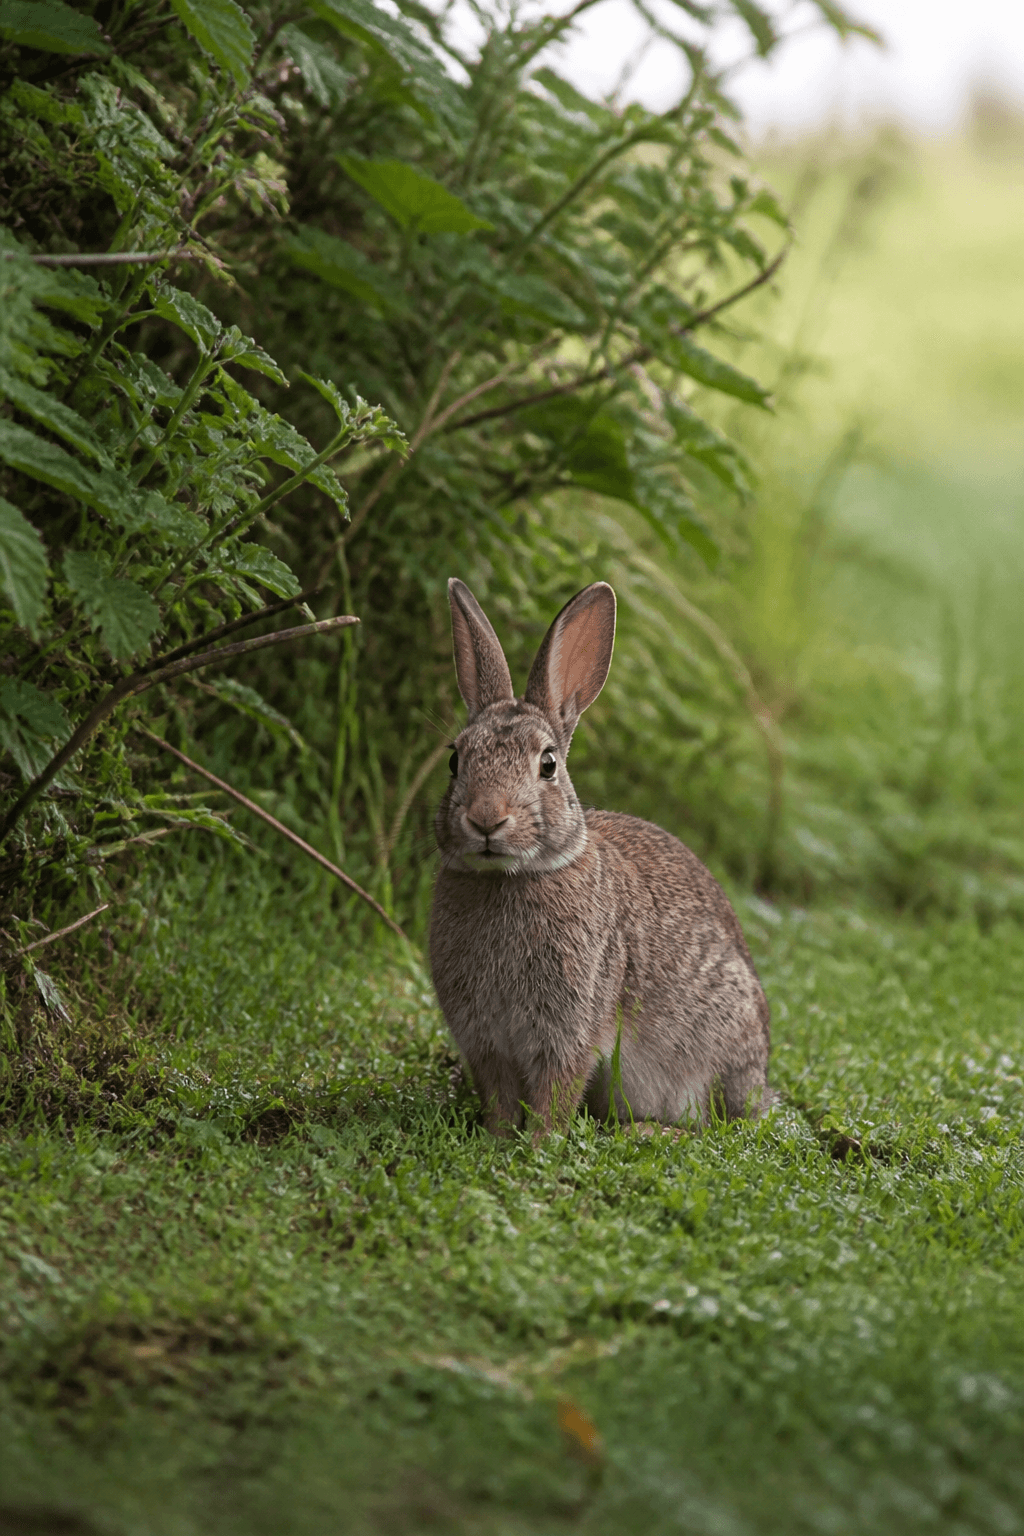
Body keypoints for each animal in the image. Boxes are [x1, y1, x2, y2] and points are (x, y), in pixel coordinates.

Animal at [429, 577, 774, 1137]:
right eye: (456, 760)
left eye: (548, 764)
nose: (485, 819)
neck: (510, 877)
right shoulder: (484, 1039)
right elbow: (499, 1096)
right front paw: (497, 1139)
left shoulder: (570, 1027)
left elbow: (556, 1090)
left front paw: (538, 1143)